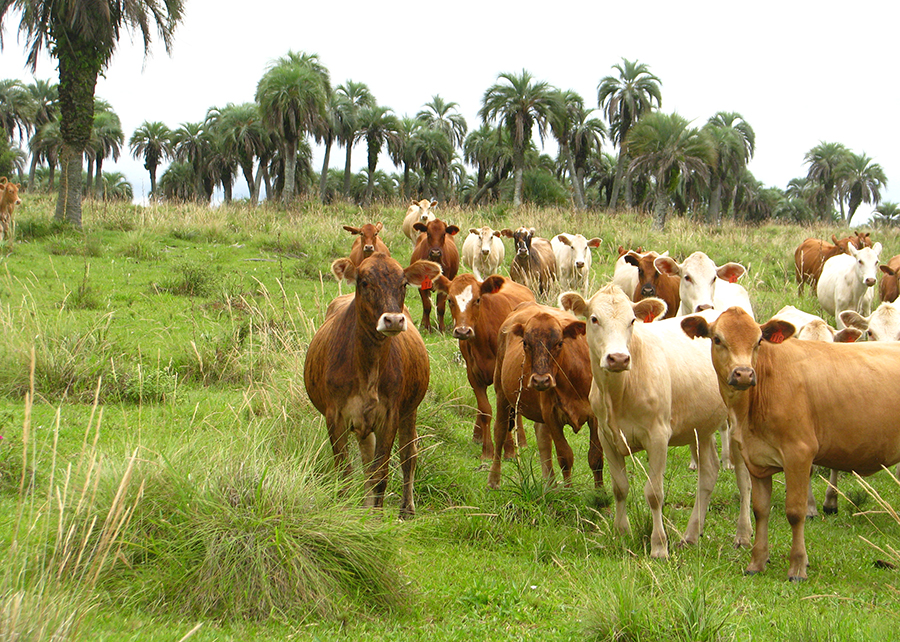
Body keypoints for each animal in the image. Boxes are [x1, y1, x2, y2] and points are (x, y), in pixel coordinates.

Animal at [304, 250, 442, 516]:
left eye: (403, 284)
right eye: (365, 282)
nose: (394, 320)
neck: (368, 368)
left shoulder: (389, 416)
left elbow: (380, 476)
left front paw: (375, 519)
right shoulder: (335, 416)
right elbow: (346, 474)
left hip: (410, 410)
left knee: (408, 455)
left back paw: (406, 508)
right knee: (367, 461)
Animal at [434, 272, 536, 458]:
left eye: (478, 299)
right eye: (450, 300)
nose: (463, 331)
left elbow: (507, 413)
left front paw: (509, 450)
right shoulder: (473, 375)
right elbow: (485, 410)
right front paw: (487, 450)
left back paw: (521, 441)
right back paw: (477, 436)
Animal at [486, 302, 604, 488]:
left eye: (560, 343)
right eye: (525, 343)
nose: (541, 380)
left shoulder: (595, 416)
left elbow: (596, 457)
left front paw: (600, 493)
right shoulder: (551, 415)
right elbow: (565, 456)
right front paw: (569, 491)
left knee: (542, 439)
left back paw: (550, 485)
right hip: (501, 392)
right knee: (500, 431)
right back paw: (493, 480)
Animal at [564, 284, 752, 556]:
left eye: (632, 321)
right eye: (594, 319)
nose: (618, 358)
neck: (619, 392)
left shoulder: (658, 436)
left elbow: (654, 494)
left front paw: (659, 546)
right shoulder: (607, 437)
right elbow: (619, 488)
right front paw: (622, 533)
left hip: (737, 419)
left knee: (743, 479)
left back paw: (743, 535)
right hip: (701, 426)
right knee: (708, 473)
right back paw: (692, 534)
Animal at [684, 306, 900, 580]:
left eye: (758, 341)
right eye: (717, 339)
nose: (744, 373)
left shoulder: (799, 454)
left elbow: (796, 512)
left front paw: (797, 566)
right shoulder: (756, 459)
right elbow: (760, 509)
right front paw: (757, 562)